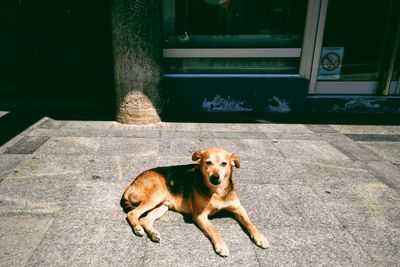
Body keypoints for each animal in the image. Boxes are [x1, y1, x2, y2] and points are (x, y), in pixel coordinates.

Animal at [119, 147, 268, 258]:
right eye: (208, 162)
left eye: (224, 164)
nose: (215, 177)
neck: (217, 192)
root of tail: (132, 183)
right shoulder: (200, 215)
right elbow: (214, 230)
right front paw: (221, 246)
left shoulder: (239, 209)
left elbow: (250, 223)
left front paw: (260, 238)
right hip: (156, 195)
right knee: (133, 214)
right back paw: (137, 228)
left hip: (163, 205)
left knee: (145, 220)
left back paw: (153, 234)